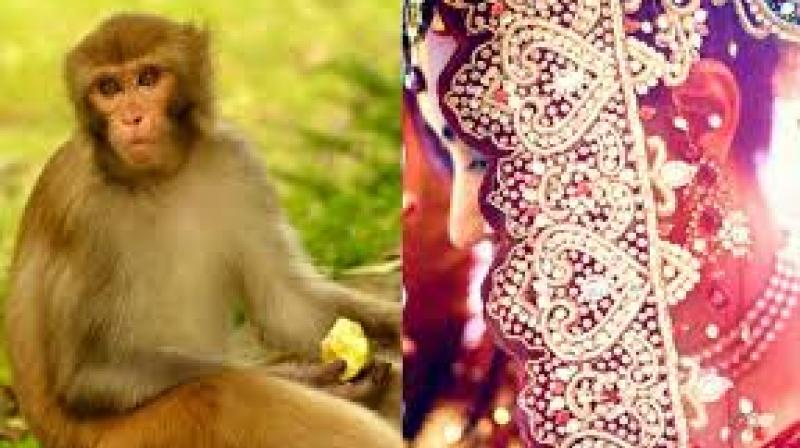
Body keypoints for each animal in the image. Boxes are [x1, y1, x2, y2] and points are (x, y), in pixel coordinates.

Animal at [5, 13, 403, 448]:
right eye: (108, 88)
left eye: (147, 78)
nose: (131, 118)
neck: (158, 180)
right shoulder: (80, 211)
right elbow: (88, 377)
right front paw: (302, 376)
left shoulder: (237, 161)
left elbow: (288, 306)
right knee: (228, 392)